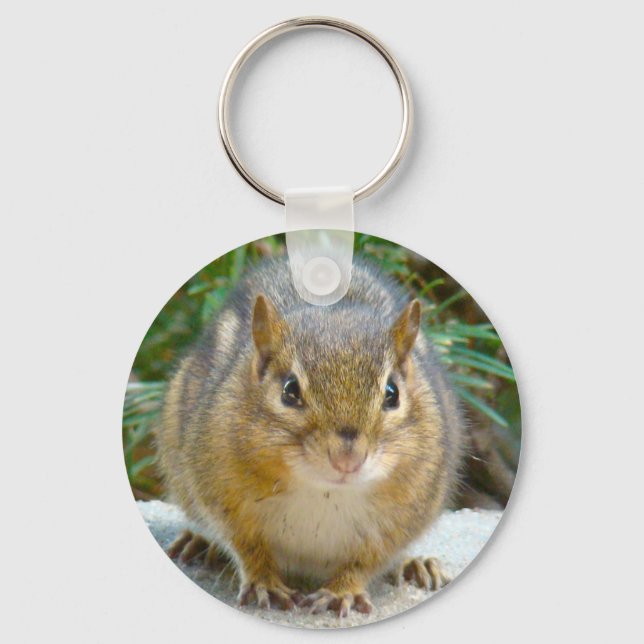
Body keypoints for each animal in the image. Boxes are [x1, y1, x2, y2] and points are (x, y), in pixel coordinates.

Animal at [156, 257, 464, 617]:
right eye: (289, 391)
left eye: (393, 393)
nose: (347, 460)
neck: (324, 492)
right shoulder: (220, 492)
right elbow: (247, 546)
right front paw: (264, 582)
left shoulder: (405, 514)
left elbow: (367, 560)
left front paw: (342, 591)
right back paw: (199, 542)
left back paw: (416, 564)